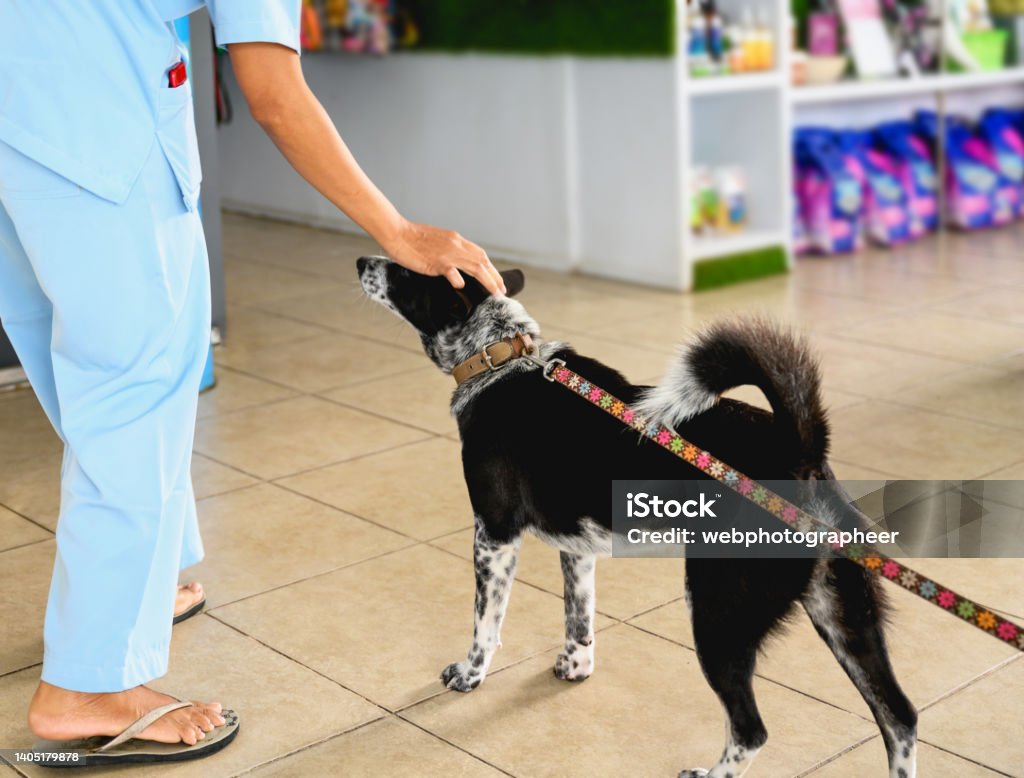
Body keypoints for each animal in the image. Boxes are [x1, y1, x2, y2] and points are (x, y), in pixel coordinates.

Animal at [356, 260, 917, 778]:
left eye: (406, 272)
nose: (362, 262)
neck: (498, 357)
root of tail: (800, 453)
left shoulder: (493, 535)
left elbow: (485, 622)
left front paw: (470, 676)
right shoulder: (577, 549)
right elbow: (578, 617)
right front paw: (576, 667)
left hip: (718, 611)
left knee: (751, 729)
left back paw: (709, 774)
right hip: (842, 611)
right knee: (900, 717)